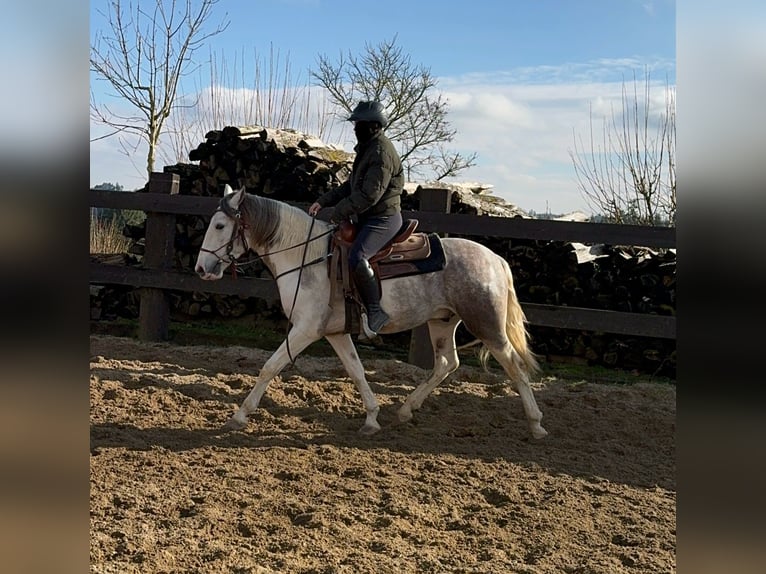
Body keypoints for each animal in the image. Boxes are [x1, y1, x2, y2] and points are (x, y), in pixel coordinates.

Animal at [195, 186, 548, 440]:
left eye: (220, 225)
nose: (201, 268)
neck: (306, 256)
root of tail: (496, 260)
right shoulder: (334, 333)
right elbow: (356, 371)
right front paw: (372, 418)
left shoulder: (305, 330)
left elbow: (269, 367)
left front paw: (239, 416)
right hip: (442, 322)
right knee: (447, 363)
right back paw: (405, 411)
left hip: (488, 326)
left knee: (515, 366)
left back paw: (536, 424)